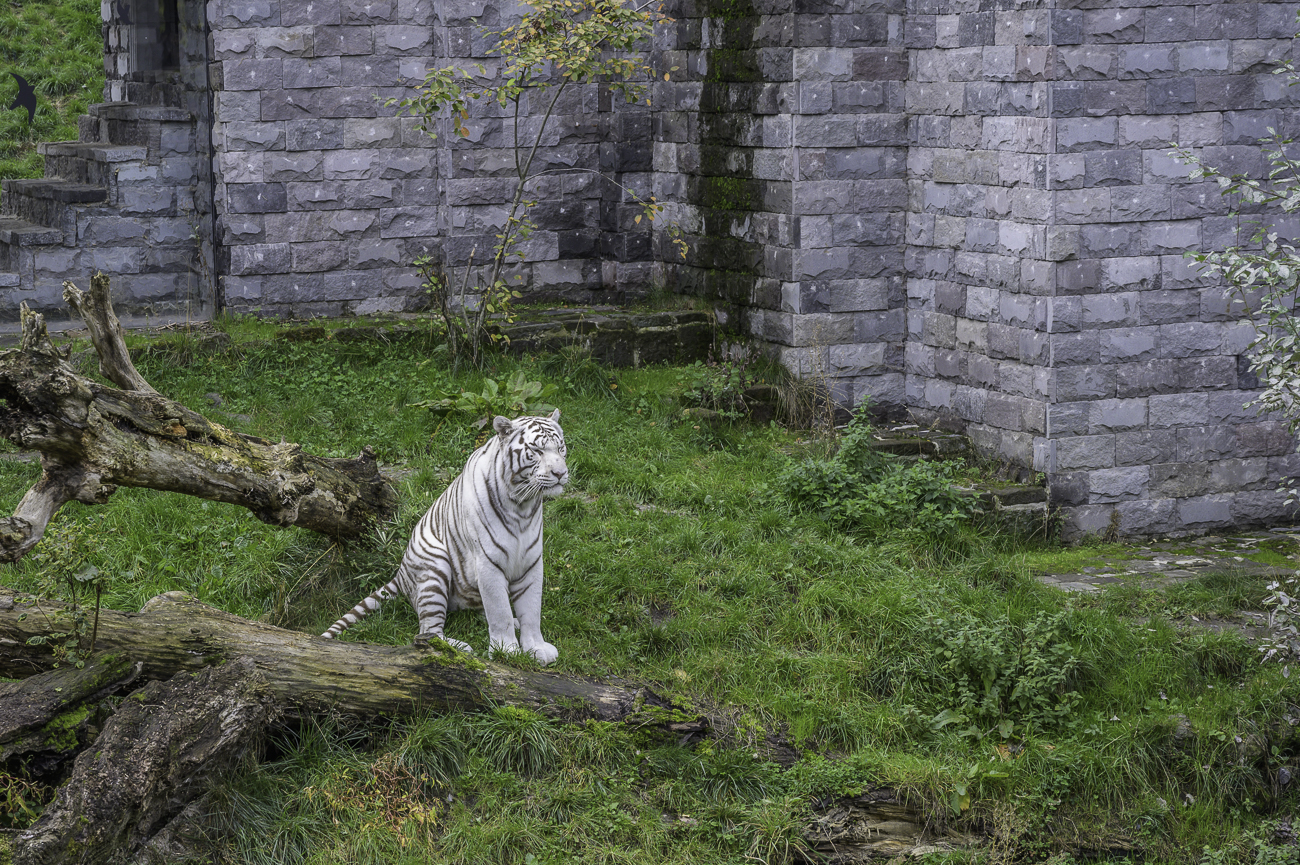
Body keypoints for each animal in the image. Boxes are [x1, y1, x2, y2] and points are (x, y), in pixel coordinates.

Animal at [321, 409, 568, 665]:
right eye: (537, 451)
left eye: (560, 448)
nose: (560, 473)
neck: (523, 504)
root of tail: (400, 573)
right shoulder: (488, 562)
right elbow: (500, 611)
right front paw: (507, 651)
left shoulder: (531, 562)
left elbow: (531, 611)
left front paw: (536, 648)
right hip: (435, 568)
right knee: (427, 631)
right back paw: (457, 649)